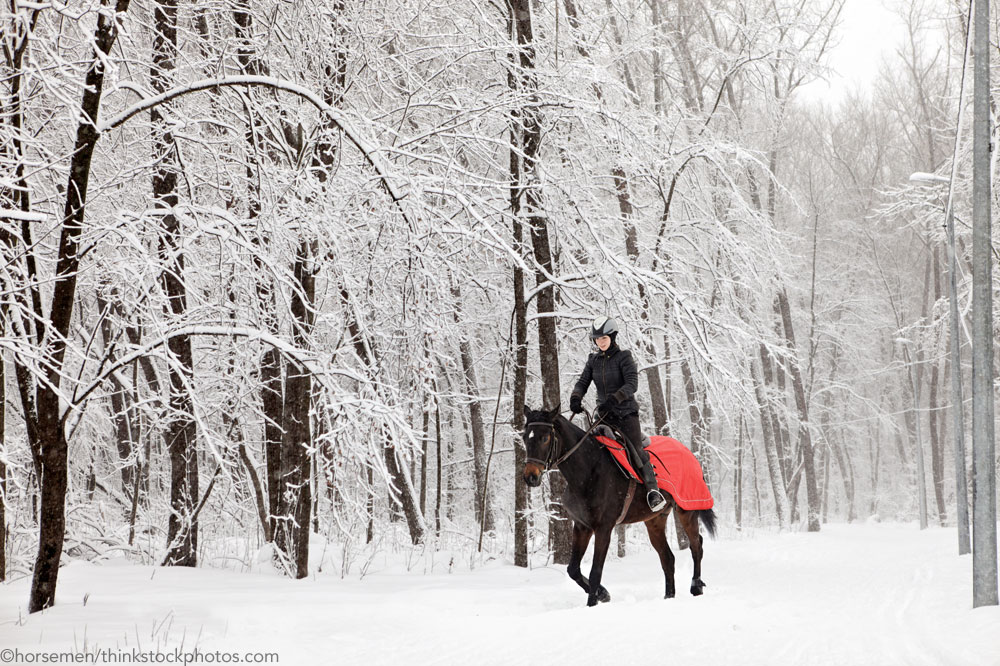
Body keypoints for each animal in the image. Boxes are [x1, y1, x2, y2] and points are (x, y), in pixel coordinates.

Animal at [520, 402, 716, 604]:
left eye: (545, 438)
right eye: (525, 437)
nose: (530, 477)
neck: (589, 471)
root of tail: (689, 453)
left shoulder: (604, 528)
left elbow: (596, 572)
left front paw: (593, 602)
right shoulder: (582, 526)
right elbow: (573, 569)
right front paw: (602, 594)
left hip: (687, 510)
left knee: (696, 546)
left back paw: (696, 586)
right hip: (654, 520)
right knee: (667, 558)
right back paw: (669, 596)